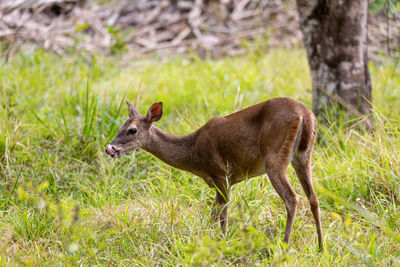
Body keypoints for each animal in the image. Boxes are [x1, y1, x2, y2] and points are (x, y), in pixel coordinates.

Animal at [107, 98, 324, 251]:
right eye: (119, 128)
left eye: (132, 130)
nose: (110, 148)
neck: (193, 152)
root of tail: (305, 115)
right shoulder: (221, 179)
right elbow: (214, 212)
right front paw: (211, 239)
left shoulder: (220, 173)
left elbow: (222, 212)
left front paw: (222, 241)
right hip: (303, 156)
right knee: (313, 198)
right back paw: (321, 247)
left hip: (274, 158)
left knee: (292, 198)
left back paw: (284, 246)